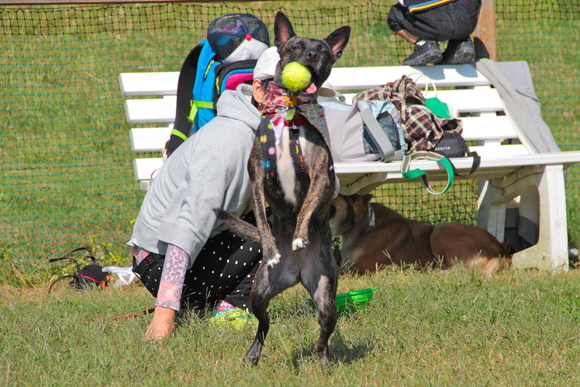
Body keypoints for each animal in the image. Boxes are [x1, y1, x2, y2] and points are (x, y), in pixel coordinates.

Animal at [214, 12, 346, 370]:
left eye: (324, 52)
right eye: (296, 47)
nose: (311, 56)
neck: (289, 113)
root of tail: (298, 274)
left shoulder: (321, 178)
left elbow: (306, 208)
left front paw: (300, 234)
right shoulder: (259, 179)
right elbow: (261, 219)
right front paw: (272, 247)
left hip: (326, 296)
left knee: (323, 334)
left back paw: (325, 363)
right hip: (260, 293)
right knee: (264, 325)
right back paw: (253, 353)